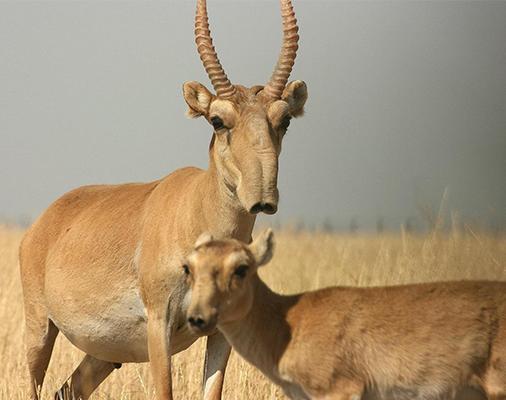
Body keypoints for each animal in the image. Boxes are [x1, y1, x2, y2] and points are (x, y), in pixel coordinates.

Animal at [17, 1, 306, 398]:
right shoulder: (160, 326)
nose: (262, 196)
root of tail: (43, 224)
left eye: (285, 120)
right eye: (217, 120)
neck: (195, 209)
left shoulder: (221, 332)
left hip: (103, 355)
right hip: (39, 330)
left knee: (68, 390)